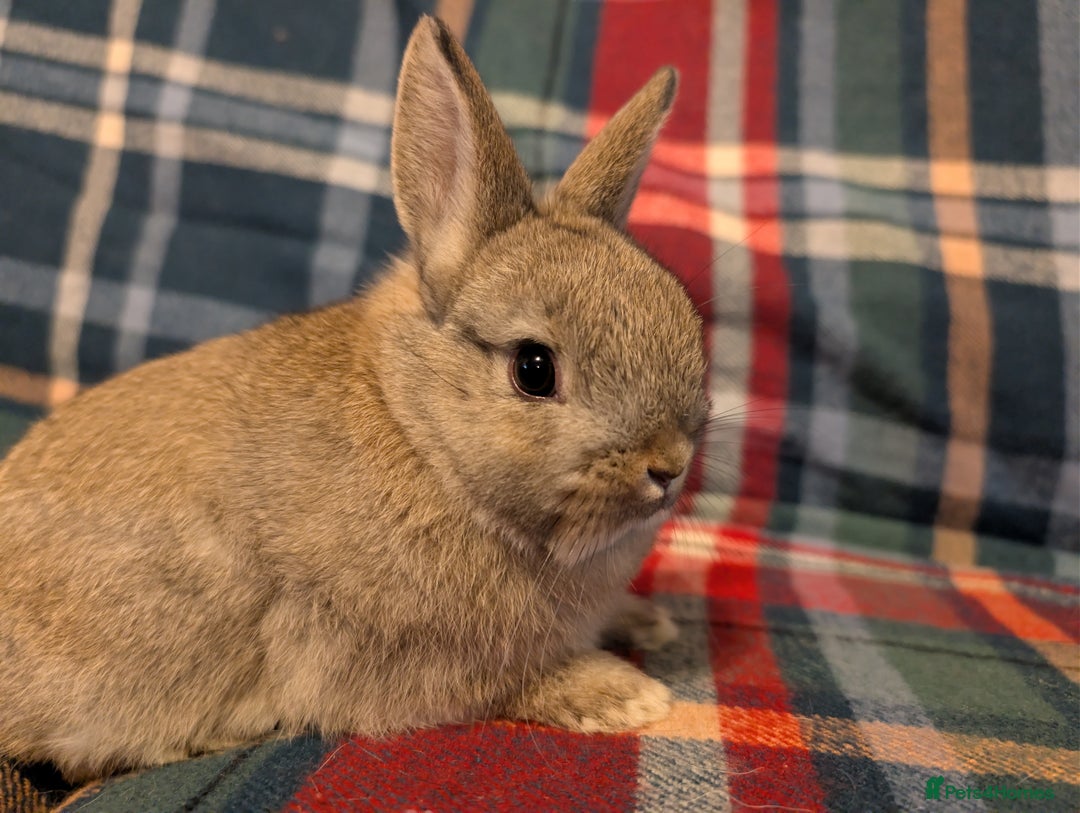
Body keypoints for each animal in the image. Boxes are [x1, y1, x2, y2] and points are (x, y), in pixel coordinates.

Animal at [0, 16, 707, 782]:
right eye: (534, 368)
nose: (668, 465)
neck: (421, 436)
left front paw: (649, 621)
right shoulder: (399, 653)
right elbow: (506, 684)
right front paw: (626, 694)